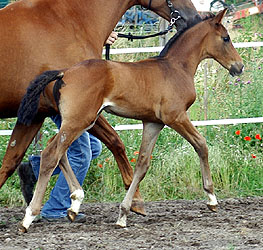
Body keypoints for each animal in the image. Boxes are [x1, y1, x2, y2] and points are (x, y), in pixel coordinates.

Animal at [18, 9, 244, 232]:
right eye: (226, 38)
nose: (239, 67)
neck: (175, 67)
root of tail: (64, 72)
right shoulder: (176, 117)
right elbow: (201, 145)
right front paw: (212, 198)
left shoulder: (153, 123)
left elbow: (142, 164)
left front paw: (124, 213)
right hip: (78, 121)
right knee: (51, 154)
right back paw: (29, 217)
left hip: (81, 122)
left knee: (57, 150)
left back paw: (75, 203)